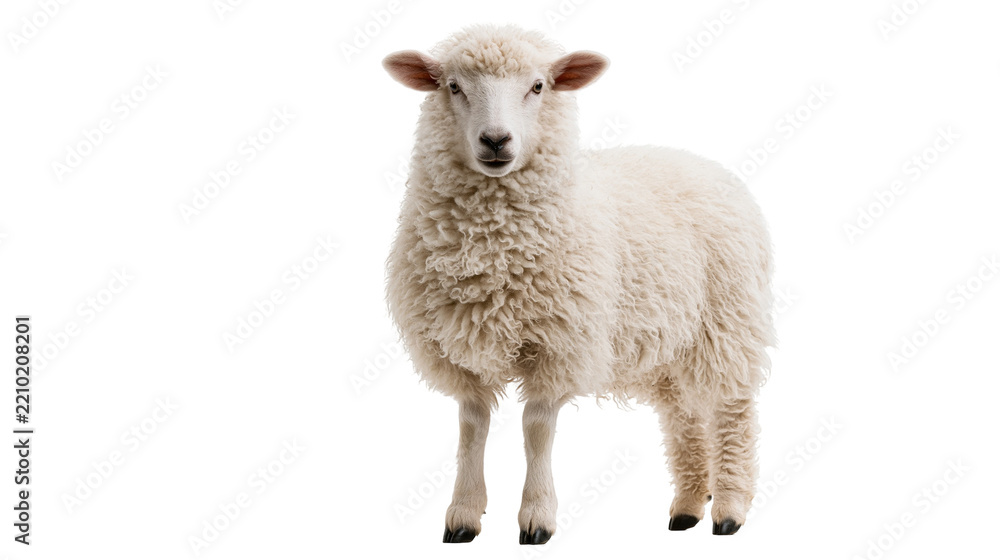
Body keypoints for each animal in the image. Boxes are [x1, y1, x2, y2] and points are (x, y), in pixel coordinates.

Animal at [382, 24, 775, 544]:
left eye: (537, 86)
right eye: (453, 87)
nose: (495, 140)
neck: (494, 248)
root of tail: (699, 162)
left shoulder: (560, 343)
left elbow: (536, 428)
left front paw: (537, 517)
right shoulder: (461, 348)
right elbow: (472, 426)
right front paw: (463, 515)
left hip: (728, 322)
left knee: (733, 410)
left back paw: (729, 508)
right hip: (672, 343)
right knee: (684, 414)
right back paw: (688, 506)